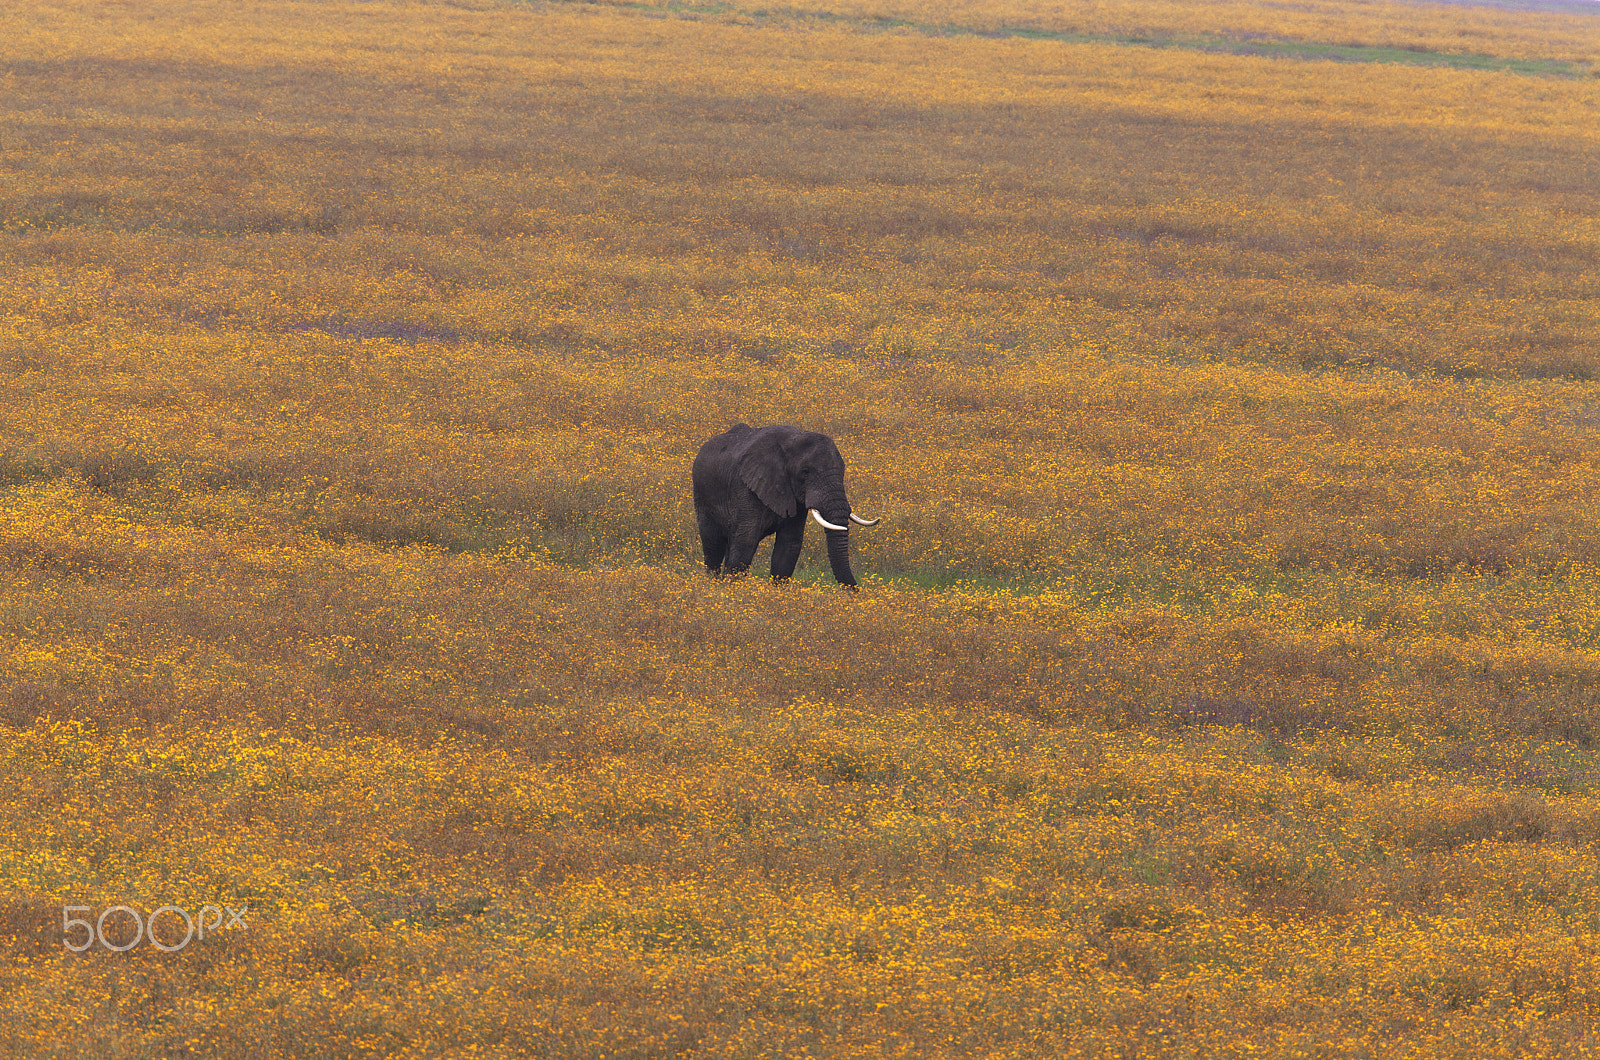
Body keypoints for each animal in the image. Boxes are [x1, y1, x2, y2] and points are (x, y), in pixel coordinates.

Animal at [692, 423, 879, 588]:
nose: (856, 591)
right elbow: (746, 541)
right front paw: (732, 591)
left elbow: (789, 546)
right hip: (702, 496)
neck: (793, 440)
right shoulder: (745, 487)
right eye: (805, 472)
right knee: (713, 544)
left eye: (842, 471)